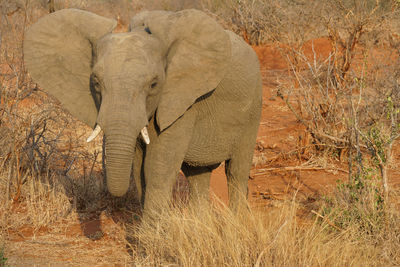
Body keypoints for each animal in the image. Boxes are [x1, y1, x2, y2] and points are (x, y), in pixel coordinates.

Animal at [24, 8, 262, 216]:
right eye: (96, 82)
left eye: (154, 84)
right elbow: (139, 167)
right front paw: (144, 236)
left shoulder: (183, 101)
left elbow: (158, 166)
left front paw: (153, 238)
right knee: (197, 175)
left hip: (253, 109)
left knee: (236, 171)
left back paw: (237, 223)